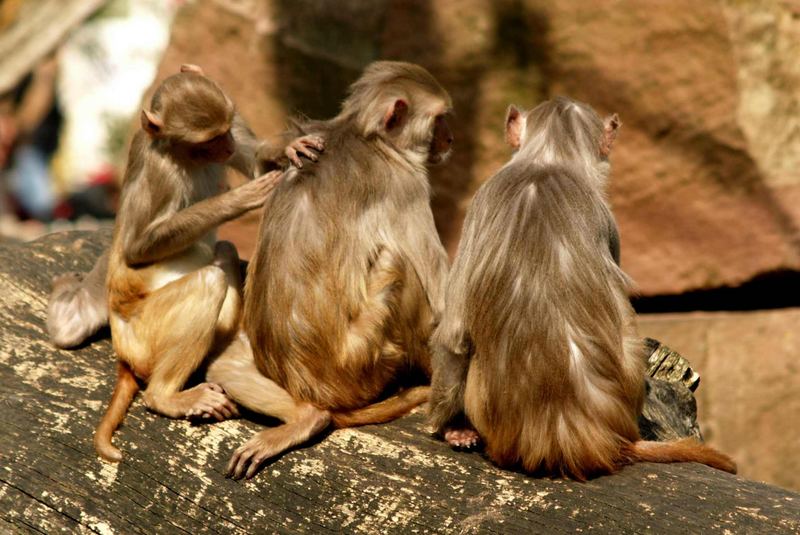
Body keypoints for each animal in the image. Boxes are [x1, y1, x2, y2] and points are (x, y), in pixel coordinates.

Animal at [86, 67, 322, 462]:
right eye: (207, 141)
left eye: (225, 132)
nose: (226, 147)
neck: (183, 155)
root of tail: (123, 351)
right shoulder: (160, 171)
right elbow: (136, 248)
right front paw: (239, 198)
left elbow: (254, 160)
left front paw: (289, 147)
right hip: (145, 335)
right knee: (208, 281)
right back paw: (165, 397)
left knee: (223, 251)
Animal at [205, 60, 456, 480]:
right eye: (440, 121)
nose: (450, 140)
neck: (365, 134)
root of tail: (321, 394)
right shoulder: (405, 184)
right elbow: (442, 306)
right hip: (364, 360)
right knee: (399, 266)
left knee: (224, 366)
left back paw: (305, 416)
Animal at [428, 97, 736, 482]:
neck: (547, 159)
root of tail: (570, 437)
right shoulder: (607, 220)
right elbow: (453, 333)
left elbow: (452, 333)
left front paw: (448, 426)